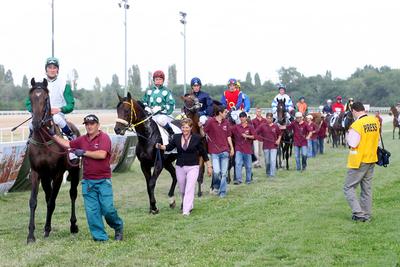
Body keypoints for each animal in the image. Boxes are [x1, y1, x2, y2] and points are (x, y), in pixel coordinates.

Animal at [26, 78, 80, 245]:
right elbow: (34, 201)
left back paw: (73, 226)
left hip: (75, 171)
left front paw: (47, 229)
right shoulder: (37, 172)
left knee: (72, 194)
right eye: (31, 98)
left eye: (45, 98)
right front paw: (31, 235)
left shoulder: (57, 174)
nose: (36, 122)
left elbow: (51, 202)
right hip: (45, 176)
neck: (44, 141)